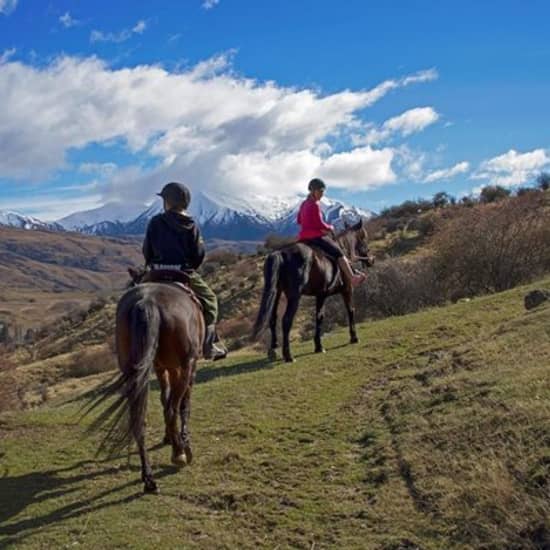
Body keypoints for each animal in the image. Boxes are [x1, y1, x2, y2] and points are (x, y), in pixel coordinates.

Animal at [88, 272, 205, 496]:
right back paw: (180, 453)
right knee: (172, 409)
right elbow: (181, 404)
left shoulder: (161, 368)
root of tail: (146, 301)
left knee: (139, 417)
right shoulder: (187, 366)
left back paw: (149, 478)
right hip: (185, 365)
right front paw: (181, 440)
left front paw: (169, 436)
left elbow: (164, 398)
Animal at [253, 218, 376, 364]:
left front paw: (318, 346)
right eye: (364, 237)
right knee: (286, 320)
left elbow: (319, 317)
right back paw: (288, 355)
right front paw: (353, 337)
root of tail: (280, 253)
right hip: (294, 296)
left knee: (273, 319)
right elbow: (350, 310)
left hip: (277, 293)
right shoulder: (346, 290)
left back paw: (273, 350)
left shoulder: (320, 295)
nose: (370, 260)